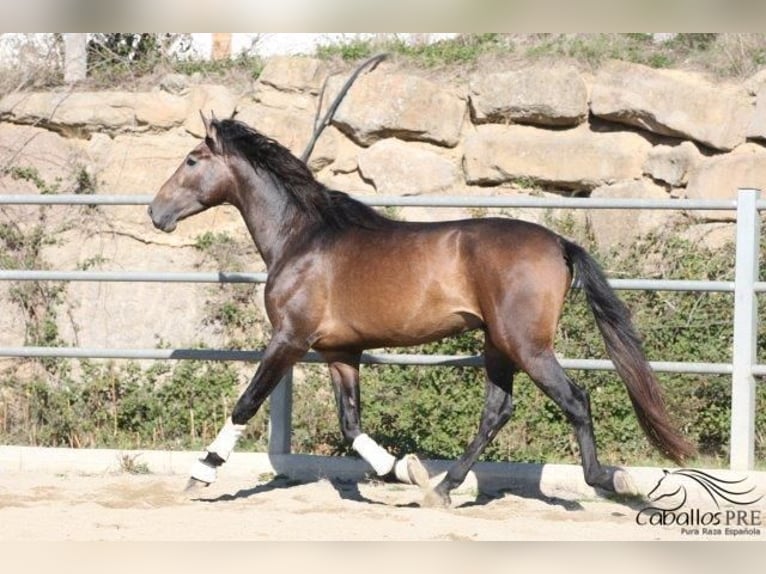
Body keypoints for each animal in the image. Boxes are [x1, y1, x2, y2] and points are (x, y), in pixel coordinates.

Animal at [148, 113, 696, 508]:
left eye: (192, 160)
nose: (156, 213)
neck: (302, 239)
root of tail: (559, 243)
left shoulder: (290, 339)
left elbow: (247, 402)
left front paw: (200, 474)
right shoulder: (341, 353)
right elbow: (352, 426)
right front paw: (404, 470)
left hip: (525, 344)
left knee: (575, 400)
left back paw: (610, 480)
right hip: (497, 344)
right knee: (497, 411)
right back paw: (443, 487)